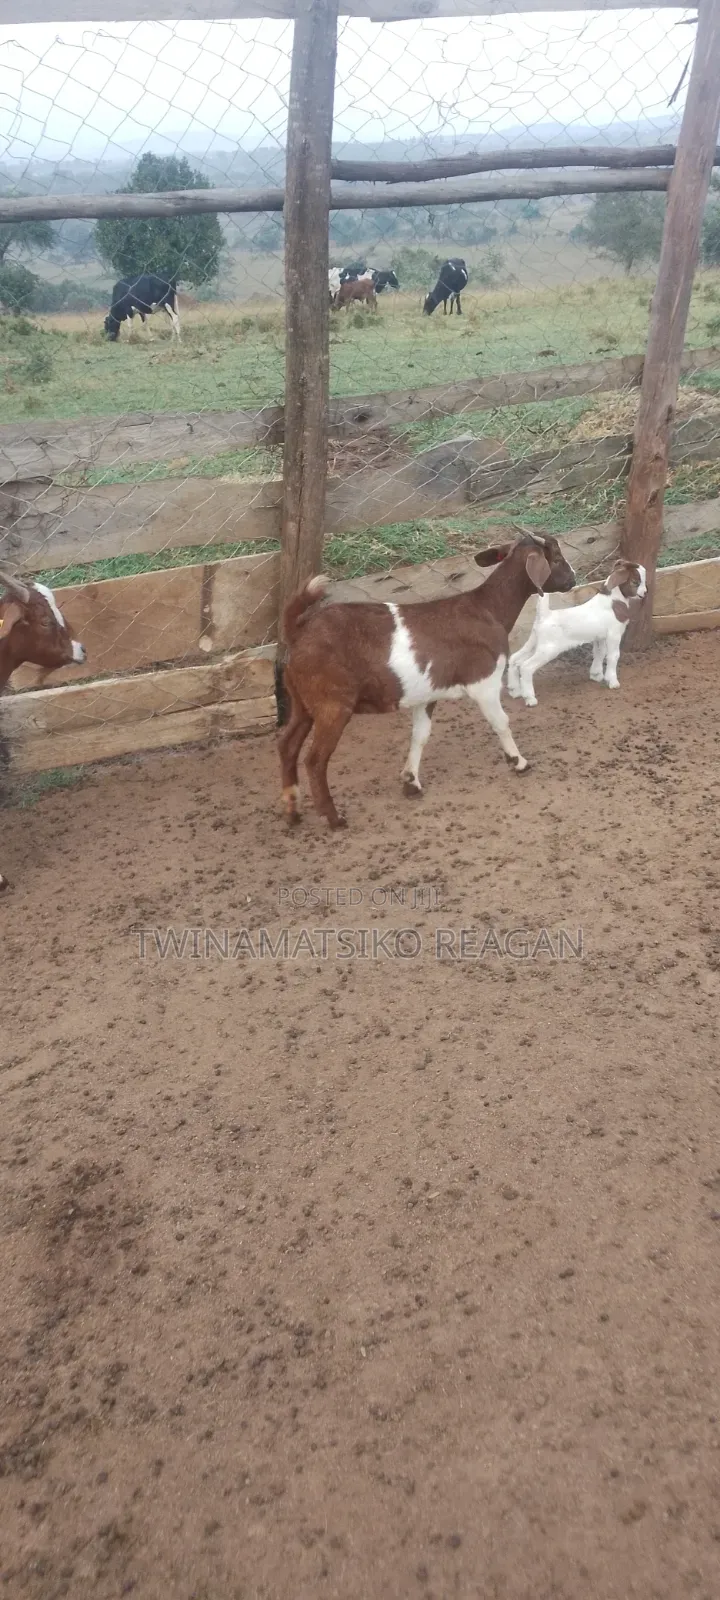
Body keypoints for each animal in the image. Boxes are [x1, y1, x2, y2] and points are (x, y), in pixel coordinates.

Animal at [278, 534, 576, 829]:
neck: (488, 609)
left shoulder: (428, 694)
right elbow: (501, 722)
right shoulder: (484, 681)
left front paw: (411, 782)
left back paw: (293, 810)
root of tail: (299, 632)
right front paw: (519, 762)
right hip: (333, 705)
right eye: (556, 559)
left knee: (287, 746)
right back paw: (333, 817)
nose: (573, 579)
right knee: (315, 760)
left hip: (303, 703)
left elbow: (420, 735)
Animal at [507, 558, 647, 706]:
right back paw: (530, 698)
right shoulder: (613, 634)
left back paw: (514, 691)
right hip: (549, 648)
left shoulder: (599, 637)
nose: (645, 593)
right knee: (526, 667)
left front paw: (596, 675)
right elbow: (613, 656)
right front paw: (612, 681)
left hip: (535, 642)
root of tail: (545, 614)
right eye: (635, 582)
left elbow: (599, 653)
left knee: (515, 659)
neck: (613, 601)